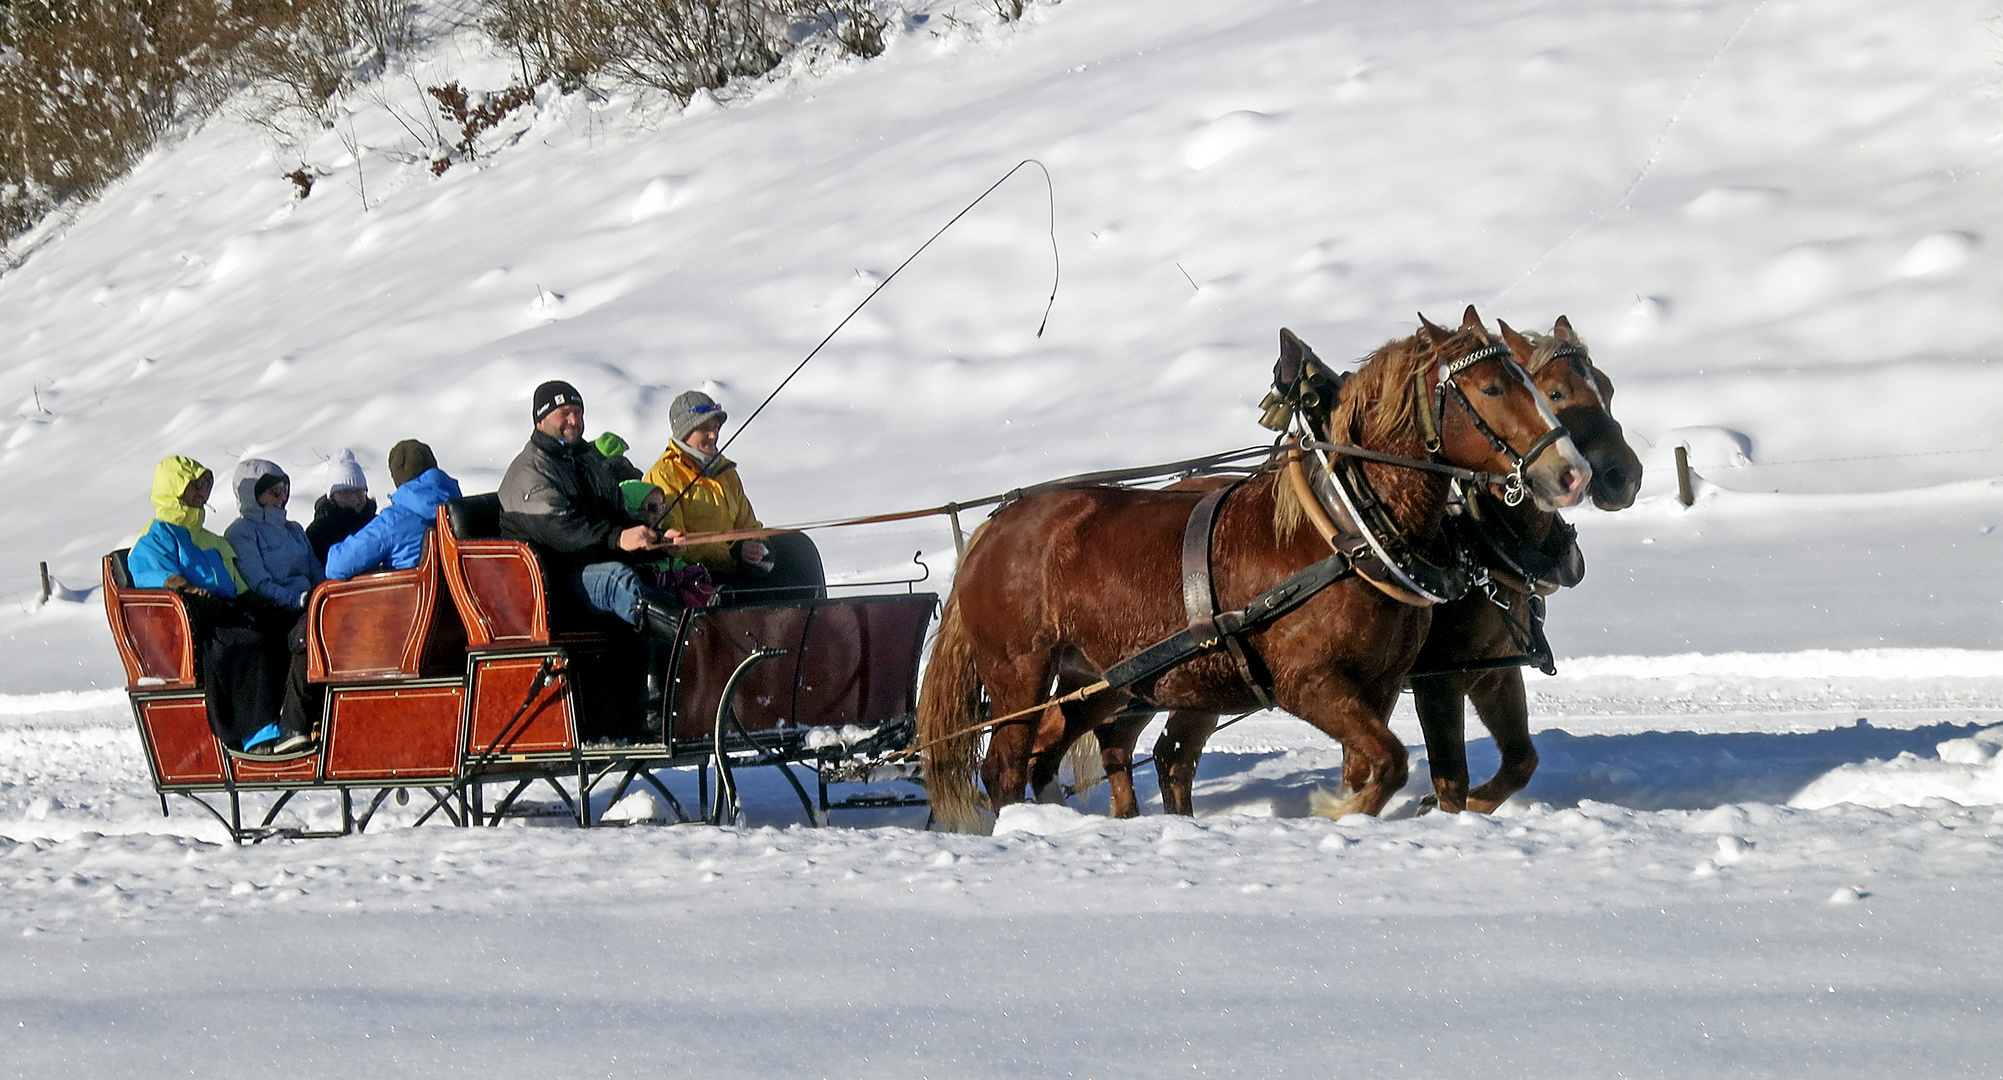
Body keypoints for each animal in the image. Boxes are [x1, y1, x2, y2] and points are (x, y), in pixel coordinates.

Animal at [917, 308, 1586, 833]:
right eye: (1492, 388)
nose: (1571, 472)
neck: (1346, 530)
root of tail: (995, 526)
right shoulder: (1311, 683)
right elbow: (1392, 762)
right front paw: (1335, 811)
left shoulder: (1383, 683)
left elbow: (1376, 764)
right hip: (1021, 674)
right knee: (1006, 767)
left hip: (1107, 681)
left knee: (1074, 755)